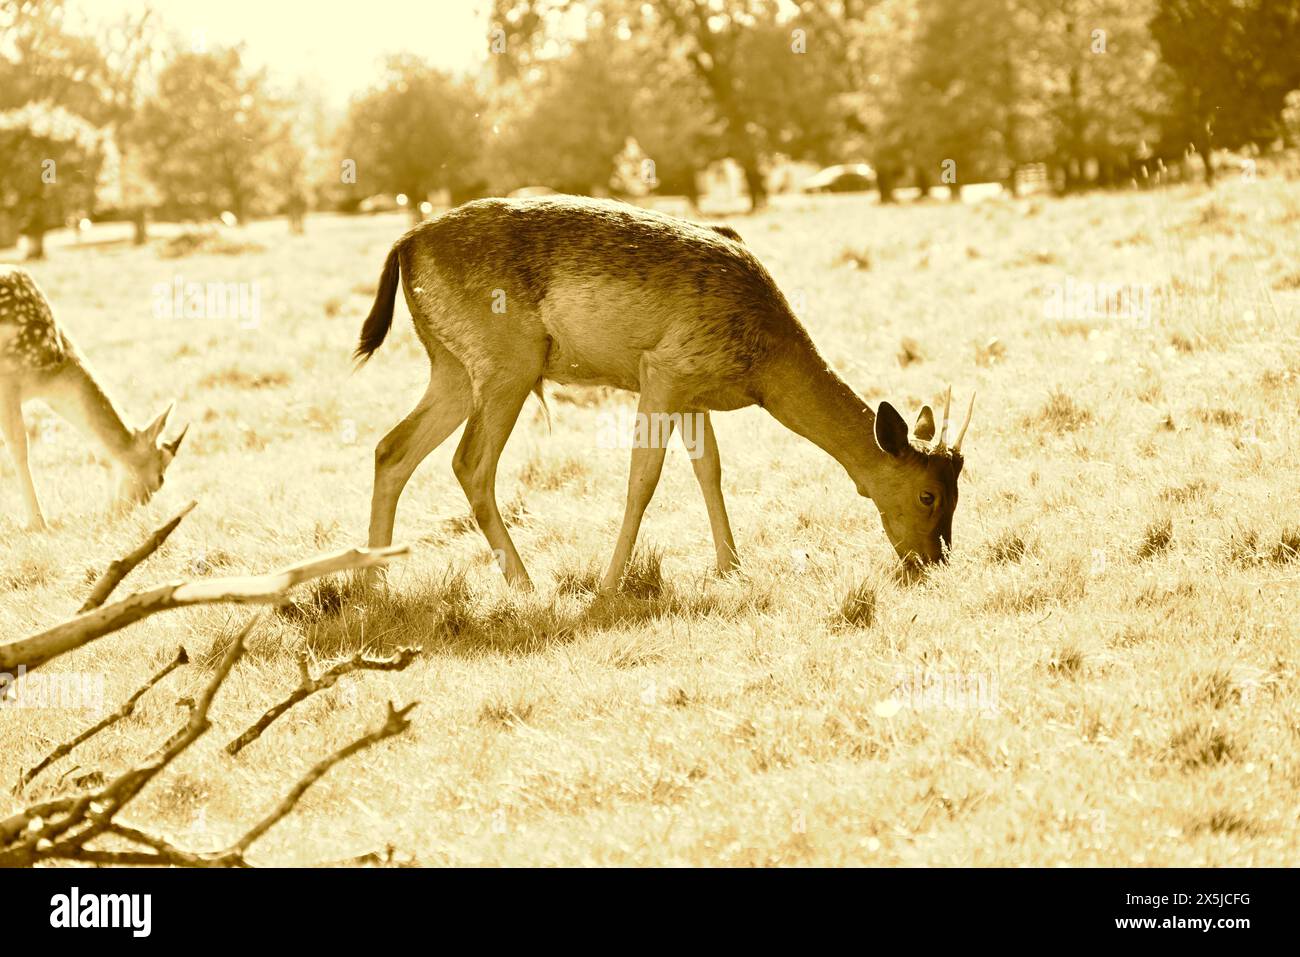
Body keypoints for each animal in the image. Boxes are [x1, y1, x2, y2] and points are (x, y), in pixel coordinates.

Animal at [354, 196, 973, 591]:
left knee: (392, 448)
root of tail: (404, 244)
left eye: (959, 485)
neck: (763, 365)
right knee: (469, 462)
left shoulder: (694, 392)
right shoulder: (663, 371)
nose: (933, 559)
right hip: (510, 363)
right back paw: (526, 583)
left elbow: (710, 469)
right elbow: (644, 477)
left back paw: (373, 583)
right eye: (927, 495)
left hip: (451, 367)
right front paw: (608, 585)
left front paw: (731, 566)